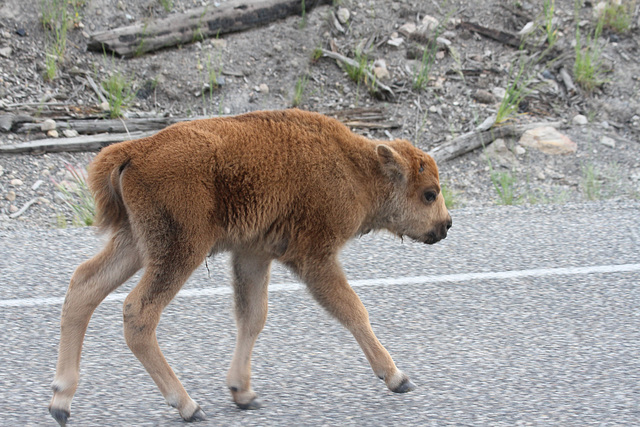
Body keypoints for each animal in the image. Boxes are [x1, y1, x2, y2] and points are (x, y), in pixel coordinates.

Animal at [50, 109, 450, 424]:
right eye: (429, 193)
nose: (446, 225)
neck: (355, 168)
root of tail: (135, 151)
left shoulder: (253, 254)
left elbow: (252, 316)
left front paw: (243, 393)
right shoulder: (314, 257)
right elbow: (352, 310)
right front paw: (397, 377)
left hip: (135, 242)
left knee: (84, 286)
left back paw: (60, 402)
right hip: (179, 251)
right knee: (138, 311)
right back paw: (188, 406)